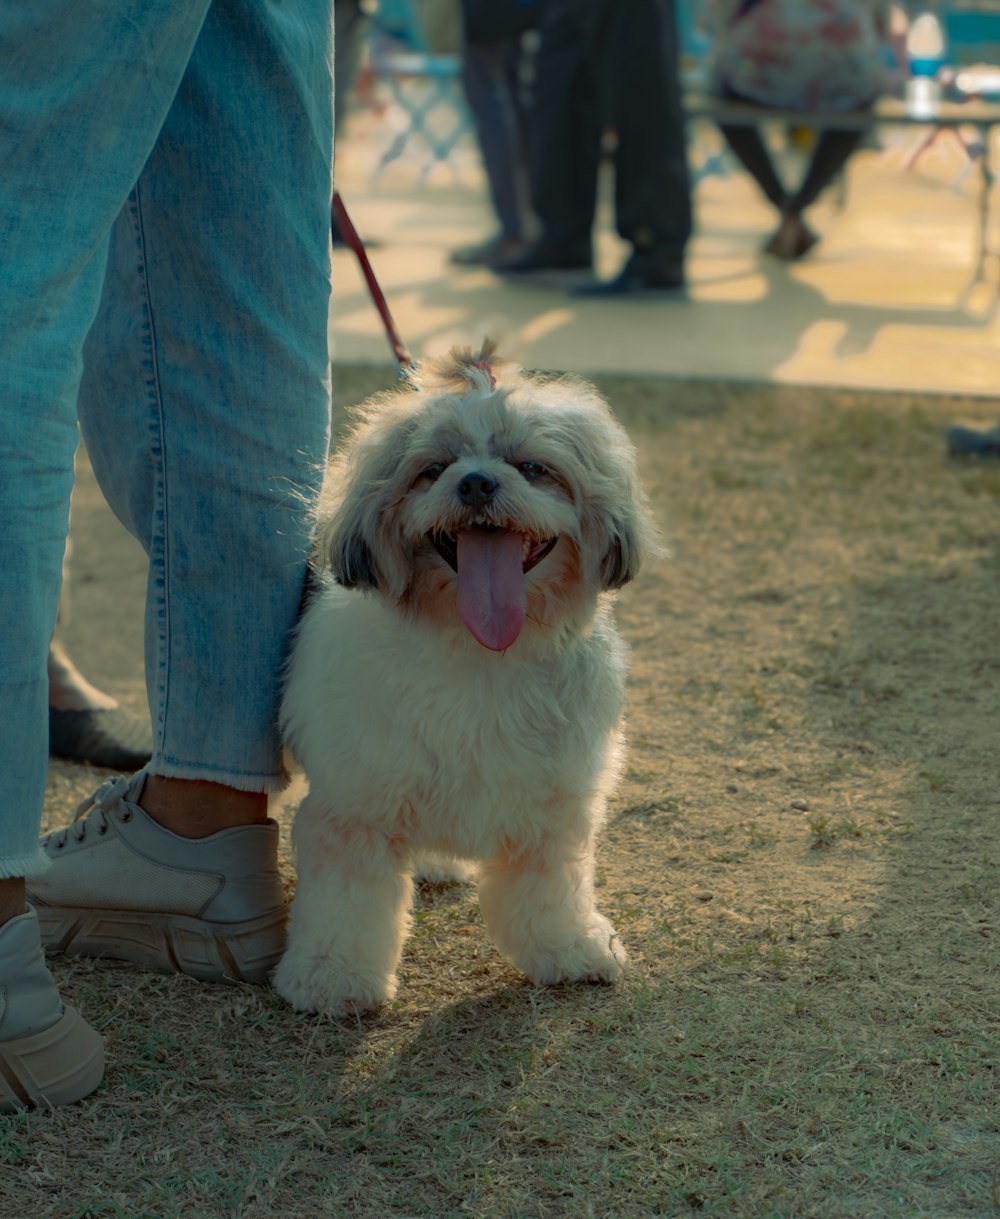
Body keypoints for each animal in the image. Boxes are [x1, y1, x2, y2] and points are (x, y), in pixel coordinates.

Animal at [273, 343, 658, 1019]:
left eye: (532, 467)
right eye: (434, 469)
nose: (476, 482)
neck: (484, 654)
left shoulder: (553, 807)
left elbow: (550, 891)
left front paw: (568, 949)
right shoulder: (354, 810)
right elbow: (347, 905)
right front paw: (331, 978)